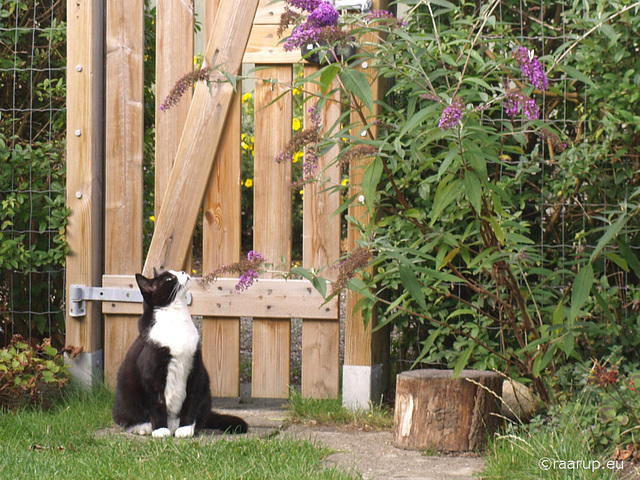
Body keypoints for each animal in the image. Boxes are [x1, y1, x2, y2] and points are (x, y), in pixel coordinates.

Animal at [112, 268, 248, 436]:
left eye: (175, 272)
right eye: (169, 279)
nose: (183, 271)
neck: (176, 319)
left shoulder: (195, 367)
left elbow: (191, 399)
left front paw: (185, 429)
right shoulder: (152, 374)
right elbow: (157, 403)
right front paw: (160, 430)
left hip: (206, 394)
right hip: (124, 403)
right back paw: (145, 427)